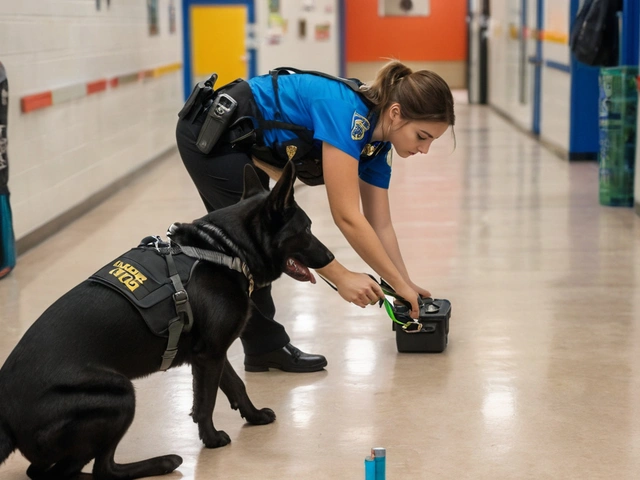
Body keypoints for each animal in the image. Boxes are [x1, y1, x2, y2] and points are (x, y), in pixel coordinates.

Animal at [0, 162, 332, 480]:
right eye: (307, 228)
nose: (330, 257)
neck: (223, 249)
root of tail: (6, 417)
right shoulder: (209, 355)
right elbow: (206, 401)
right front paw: (212, 440)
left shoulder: (211, 352)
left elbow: (235, 385)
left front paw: (254, 417)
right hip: (120, 394)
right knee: (100, 469)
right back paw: (163, 462)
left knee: (48, 471)